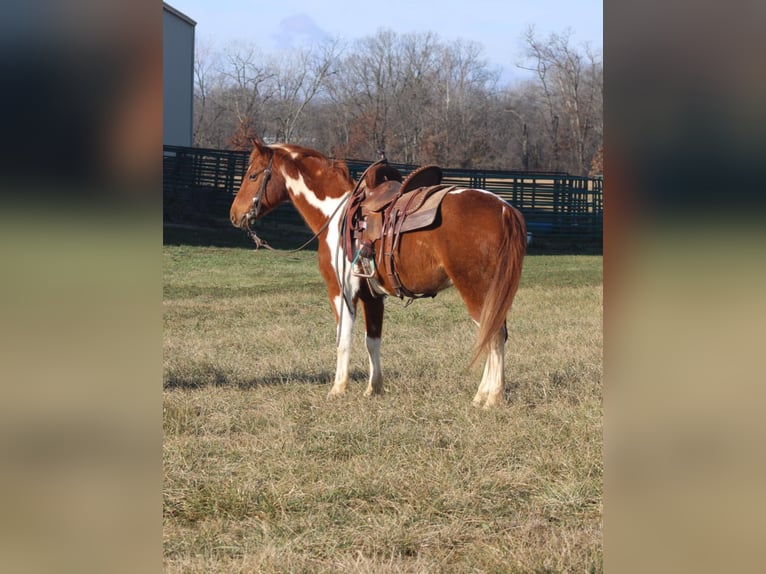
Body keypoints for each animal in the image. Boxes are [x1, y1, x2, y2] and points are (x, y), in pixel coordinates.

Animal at [230, 140, 528, 410]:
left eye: (253, 175)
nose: (234, 214)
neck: (335, 214)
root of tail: (504, 208)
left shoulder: (340, 293)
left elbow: (343, 339)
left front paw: (338, 389)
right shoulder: (372, 297)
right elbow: (372, 341)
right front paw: (374, 388)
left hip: (475, 290)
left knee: (493, 336)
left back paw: (491, 398)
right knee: (496, 334)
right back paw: (483, 395)